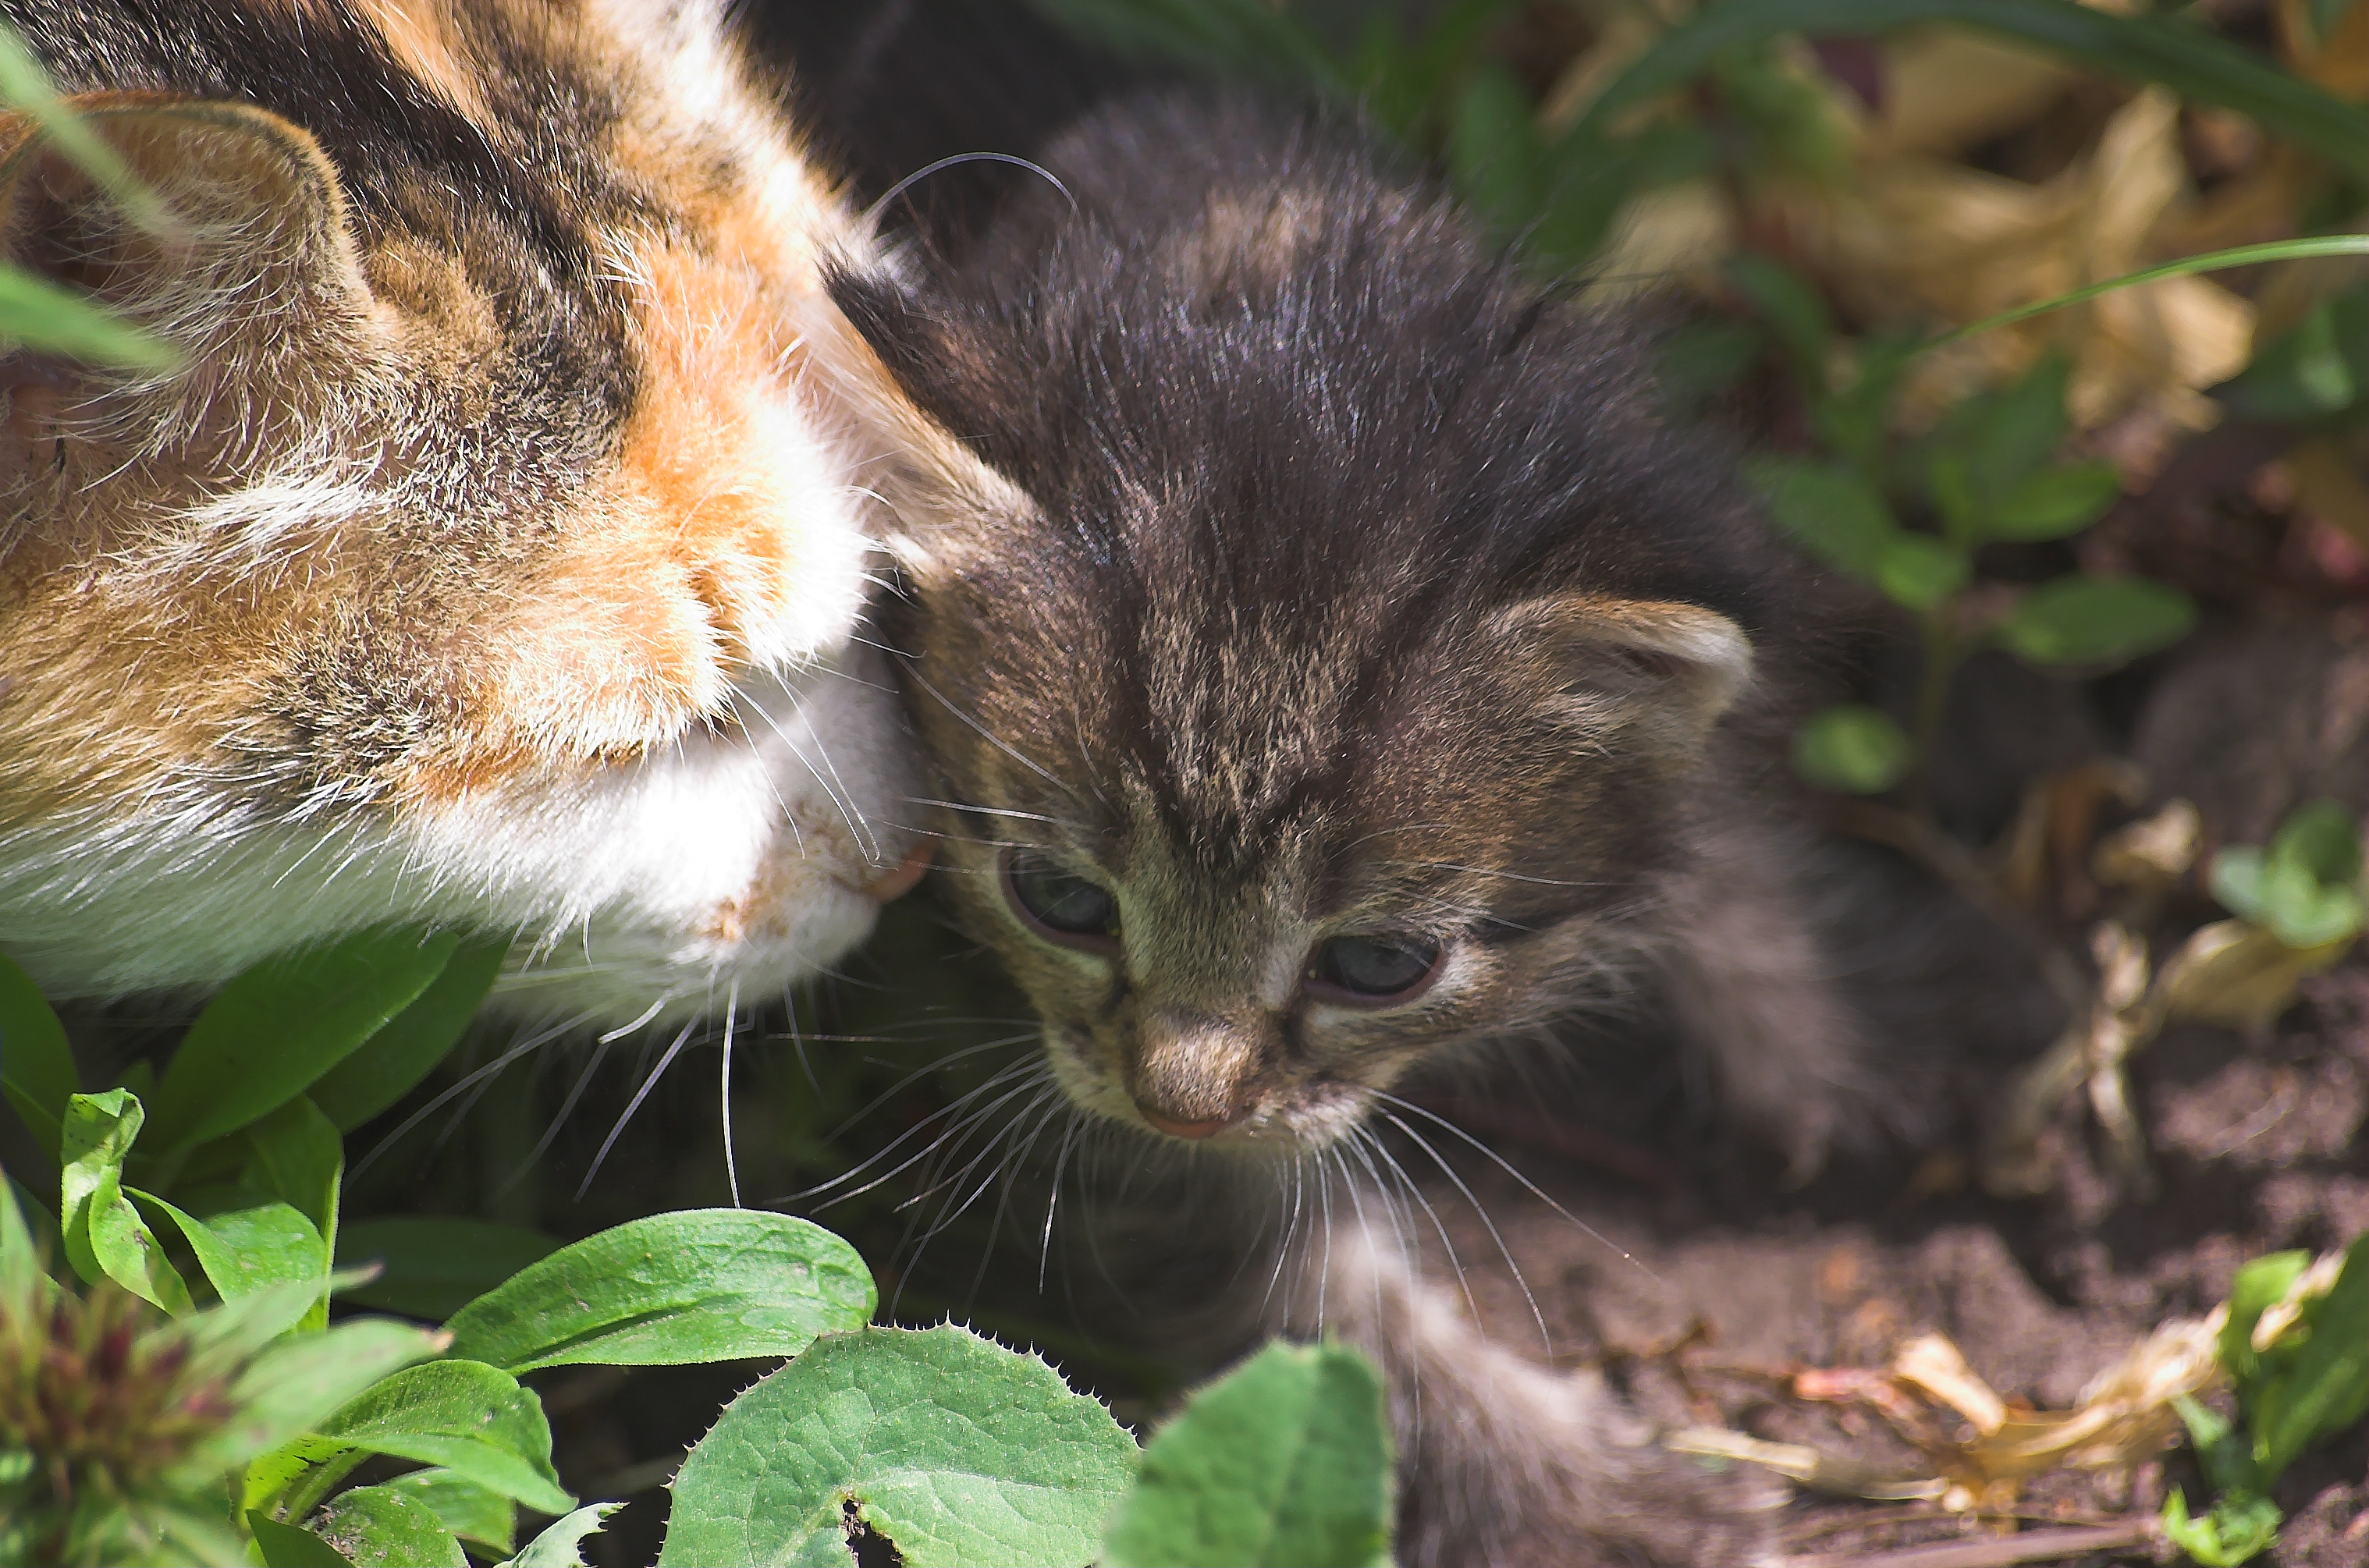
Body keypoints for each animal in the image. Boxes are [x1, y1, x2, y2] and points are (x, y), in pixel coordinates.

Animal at [833, 101, 1885, 1568]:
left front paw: (1801, 1042)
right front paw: (1586, 1496)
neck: (1294, 318)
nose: (1185, 1100)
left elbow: (1710, 818)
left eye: (1378, 965)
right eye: (1058, 897)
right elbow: (1326, 1310)